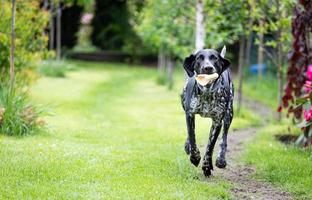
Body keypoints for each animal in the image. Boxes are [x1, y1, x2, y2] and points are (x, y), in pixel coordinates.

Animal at [180, 46, 234, 176]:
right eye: (199, 58)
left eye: (215, 58)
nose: (208, 68)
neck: (207, 92)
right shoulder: (189, 114)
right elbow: (192, 135)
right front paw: (195, 157)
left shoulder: (217, 121)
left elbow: (211, 145)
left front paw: (206, 166)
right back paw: (188, 146)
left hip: (229, 114)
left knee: (224, 138)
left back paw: (221, 159)